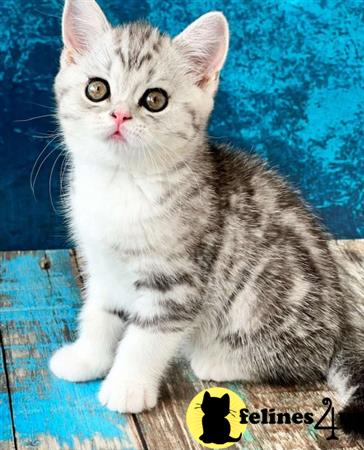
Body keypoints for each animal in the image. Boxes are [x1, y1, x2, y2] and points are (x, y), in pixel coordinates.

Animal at [50, 0, 364, 436]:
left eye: (155, 99)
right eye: (97, 89)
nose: (119, 116)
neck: (123, 183)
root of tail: (341, 318)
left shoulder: (177, 282)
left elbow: (145, 338)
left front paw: (128, 385)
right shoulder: (103, 266)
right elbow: (99, 314)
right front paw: (87, 358)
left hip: (263, 296)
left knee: (306, 360)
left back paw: (218, 359)